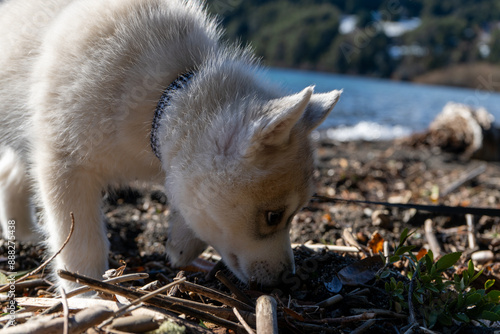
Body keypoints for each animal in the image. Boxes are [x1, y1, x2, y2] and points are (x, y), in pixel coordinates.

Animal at [0, 0, 340, 288]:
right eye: (273, 217)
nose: (288, 279)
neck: (166, 94)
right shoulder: (64, 162)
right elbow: (82, 242)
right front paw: (85, 292)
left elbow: (190, 203)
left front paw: (181, 246)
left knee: (11, 176)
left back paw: (25, 233)